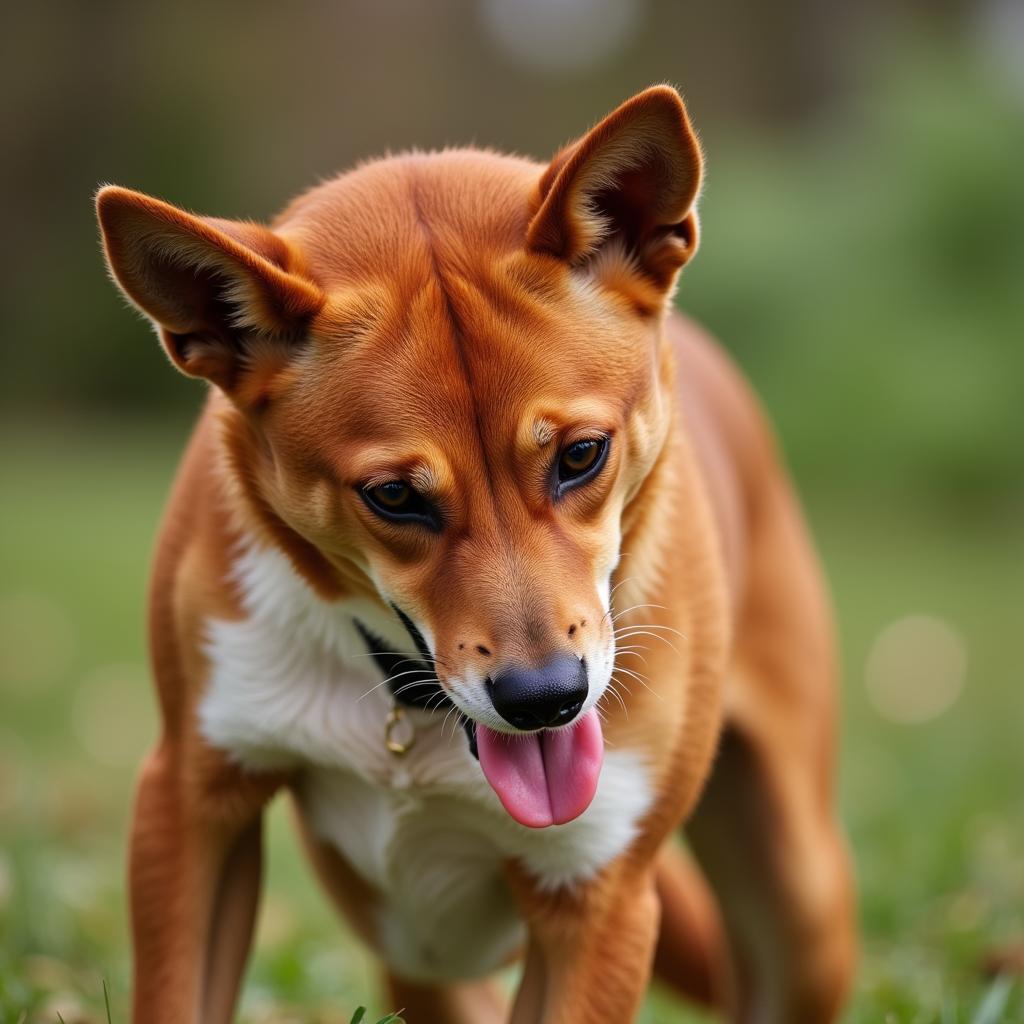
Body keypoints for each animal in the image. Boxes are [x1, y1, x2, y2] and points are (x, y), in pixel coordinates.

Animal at [97, 83, 856, 1019]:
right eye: (394, 496)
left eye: (581, 455)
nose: (546, 701)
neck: (407, 712)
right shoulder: (192, 800)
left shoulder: (598, 894)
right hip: (418, 955)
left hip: (802, 906)